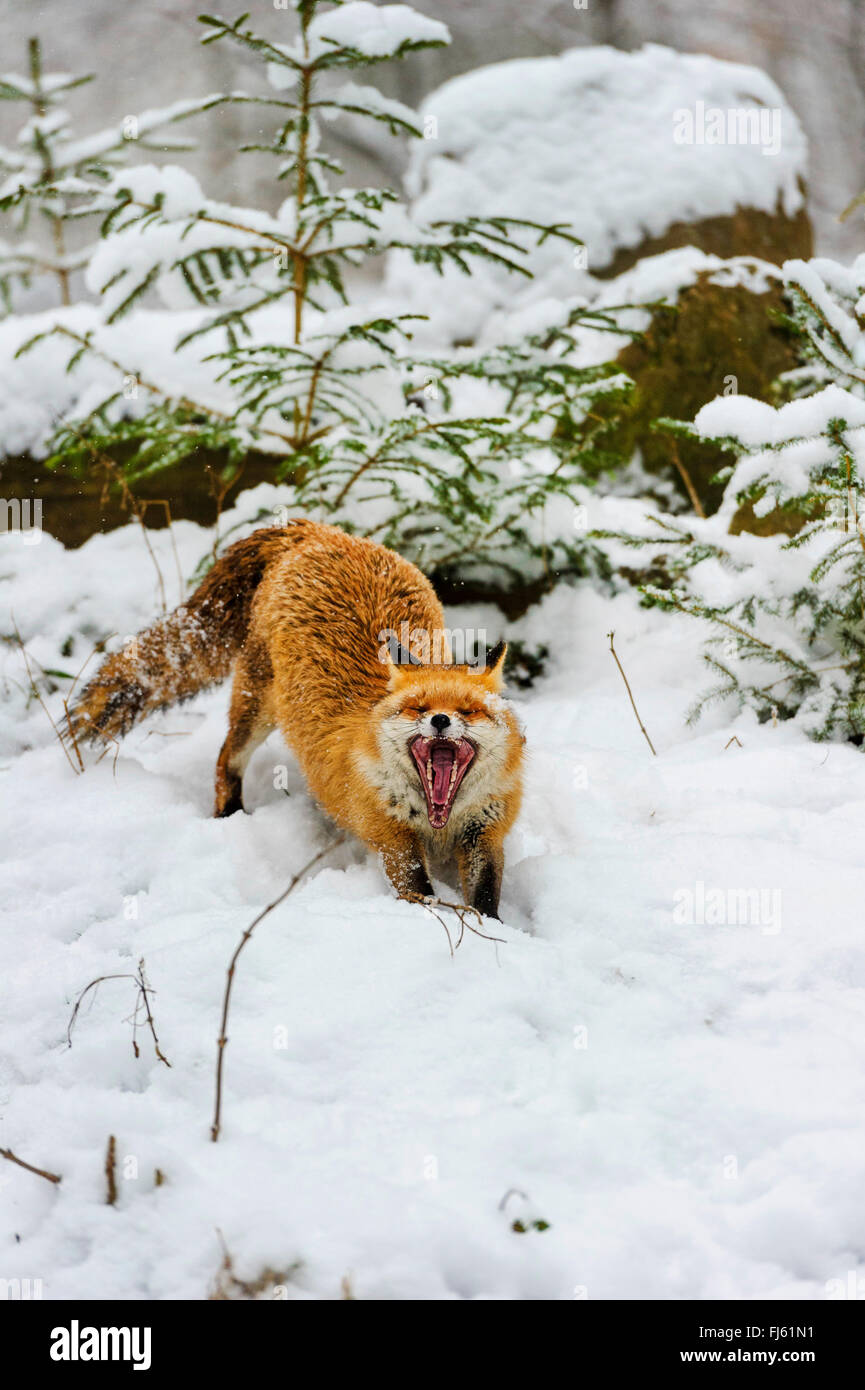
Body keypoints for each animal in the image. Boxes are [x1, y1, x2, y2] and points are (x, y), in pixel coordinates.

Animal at [67, 519, 524, 919]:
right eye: (418, 708)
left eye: (469, 711)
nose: (441, 721)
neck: (439, 818)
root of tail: (318, 531)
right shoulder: (391, 836)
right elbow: (420, 892)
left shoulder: (485, 833)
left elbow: (487, 895)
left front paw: (495, 931)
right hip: (257, 707)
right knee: (225, 758)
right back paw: (228, 816)